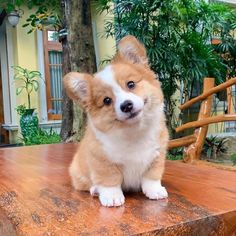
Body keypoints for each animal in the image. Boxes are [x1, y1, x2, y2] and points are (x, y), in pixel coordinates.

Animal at [63, 35, 169, 206]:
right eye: (106, 100)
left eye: (131, 84)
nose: (126, 105)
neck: (133, 131)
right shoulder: (103, 161)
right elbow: (110, 179)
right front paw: (112, 197)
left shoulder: (156, 157)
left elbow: (151, 177)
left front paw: (155, 191)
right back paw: (95, 190)